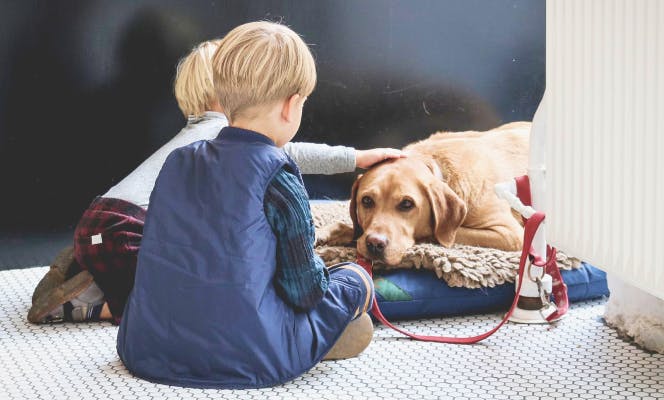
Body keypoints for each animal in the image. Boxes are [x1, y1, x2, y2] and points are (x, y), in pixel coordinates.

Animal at [320, 120, 532, 268]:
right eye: (366, 200)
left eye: (407, 204)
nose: (374, 244)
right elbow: (355, 230)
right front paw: (332, 232)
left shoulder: (510, 234)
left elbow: (435, 233)